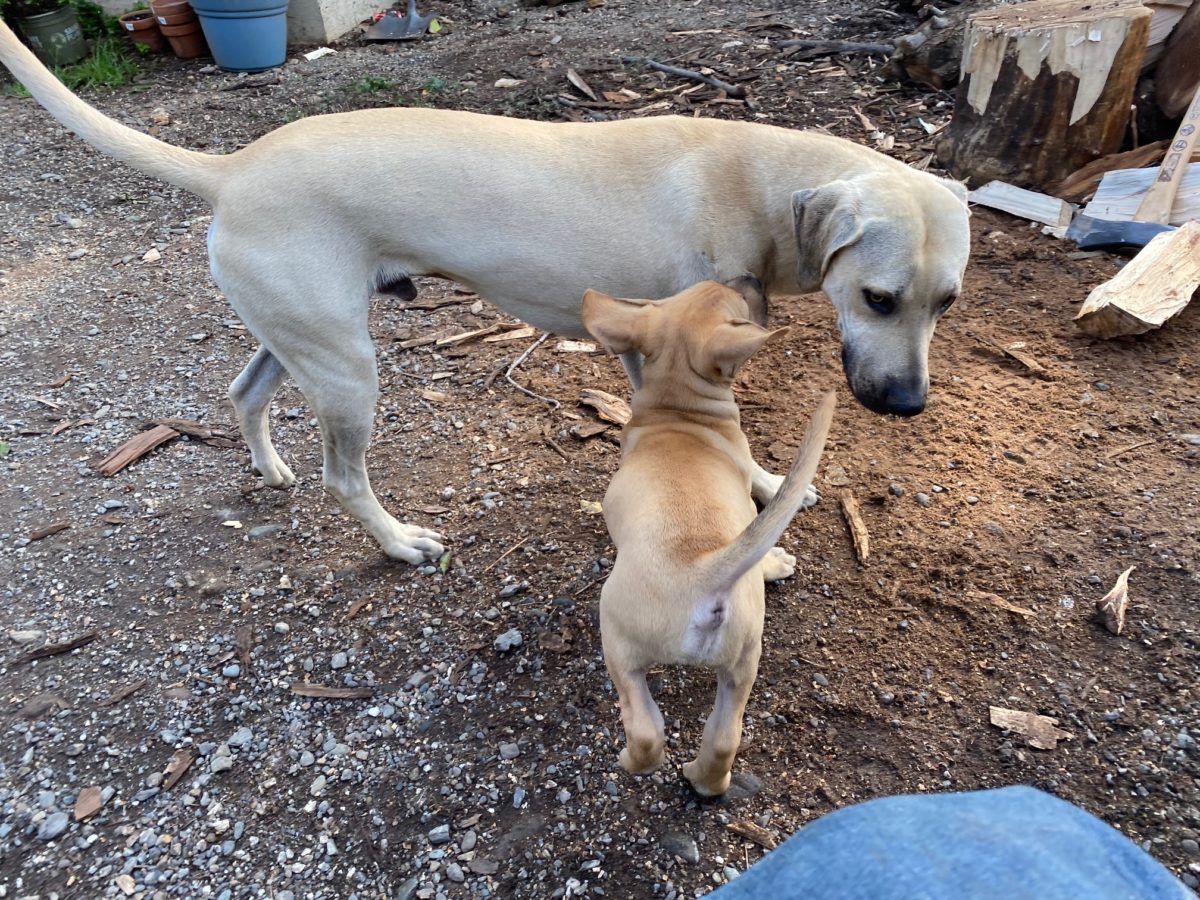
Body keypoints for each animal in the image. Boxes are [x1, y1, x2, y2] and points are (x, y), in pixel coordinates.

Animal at [0, 24, 964, 564]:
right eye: (878, 299)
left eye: (946, 303)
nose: (909, 406)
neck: (759, 183)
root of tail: (232, 168)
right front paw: (764, 493)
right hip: (348, 369)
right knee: (343, 476)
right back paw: (399, 544)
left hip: (300, 337)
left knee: (244, 393)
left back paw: (270, 468)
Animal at [580, 277, 835, 796]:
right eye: (738, 301)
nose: (750, 279)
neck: (678, 408)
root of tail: (703, 570)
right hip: (736, 661)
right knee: (719, 737)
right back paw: (702, 780)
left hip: (622, 643)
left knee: (650, 730)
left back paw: (646, 765)